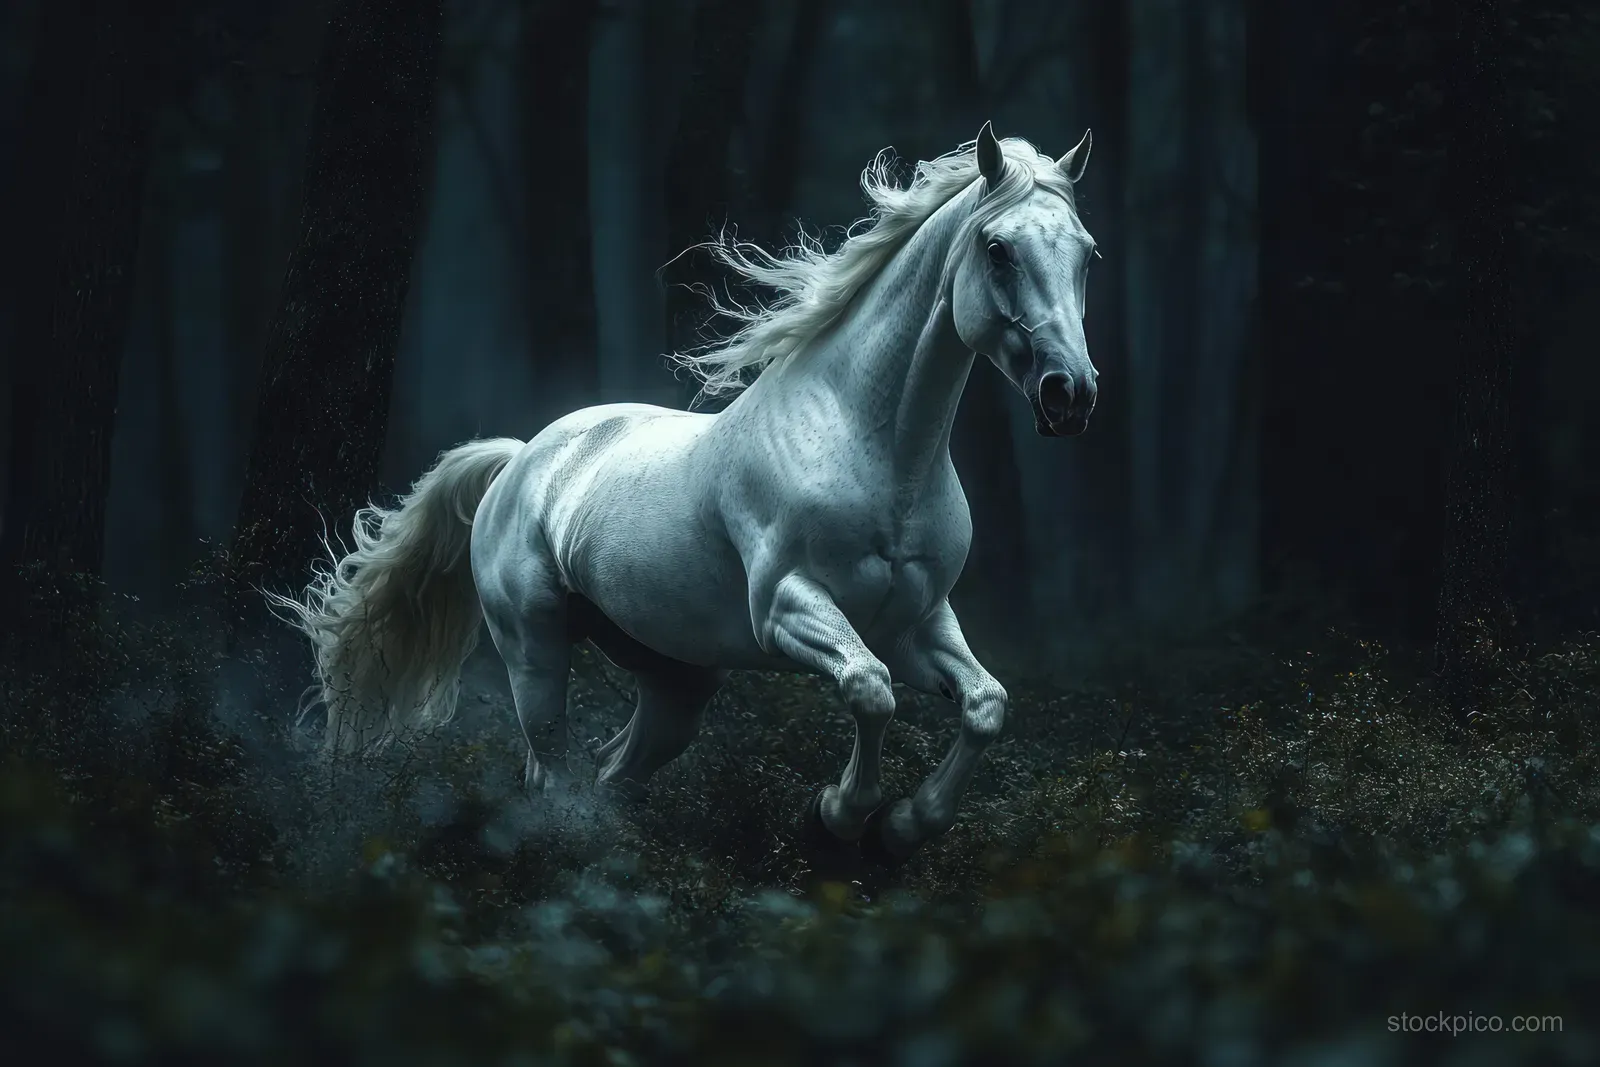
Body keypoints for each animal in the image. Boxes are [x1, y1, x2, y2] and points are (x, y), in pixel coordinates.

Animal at [272, 122, 1098, 863]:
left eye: (1086, 253)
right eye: (997, 249)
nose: (1070, 394)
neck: (876, 452)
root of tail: (520, 459)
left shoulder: (916, 622)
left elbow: (986, 705)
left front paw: (902, 827)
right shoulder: (788, 607)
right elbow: (871, 690)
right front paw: (836, 814)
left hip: (678, 678)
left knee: (613, 766)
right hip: (534, 648)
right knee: (551, 772)